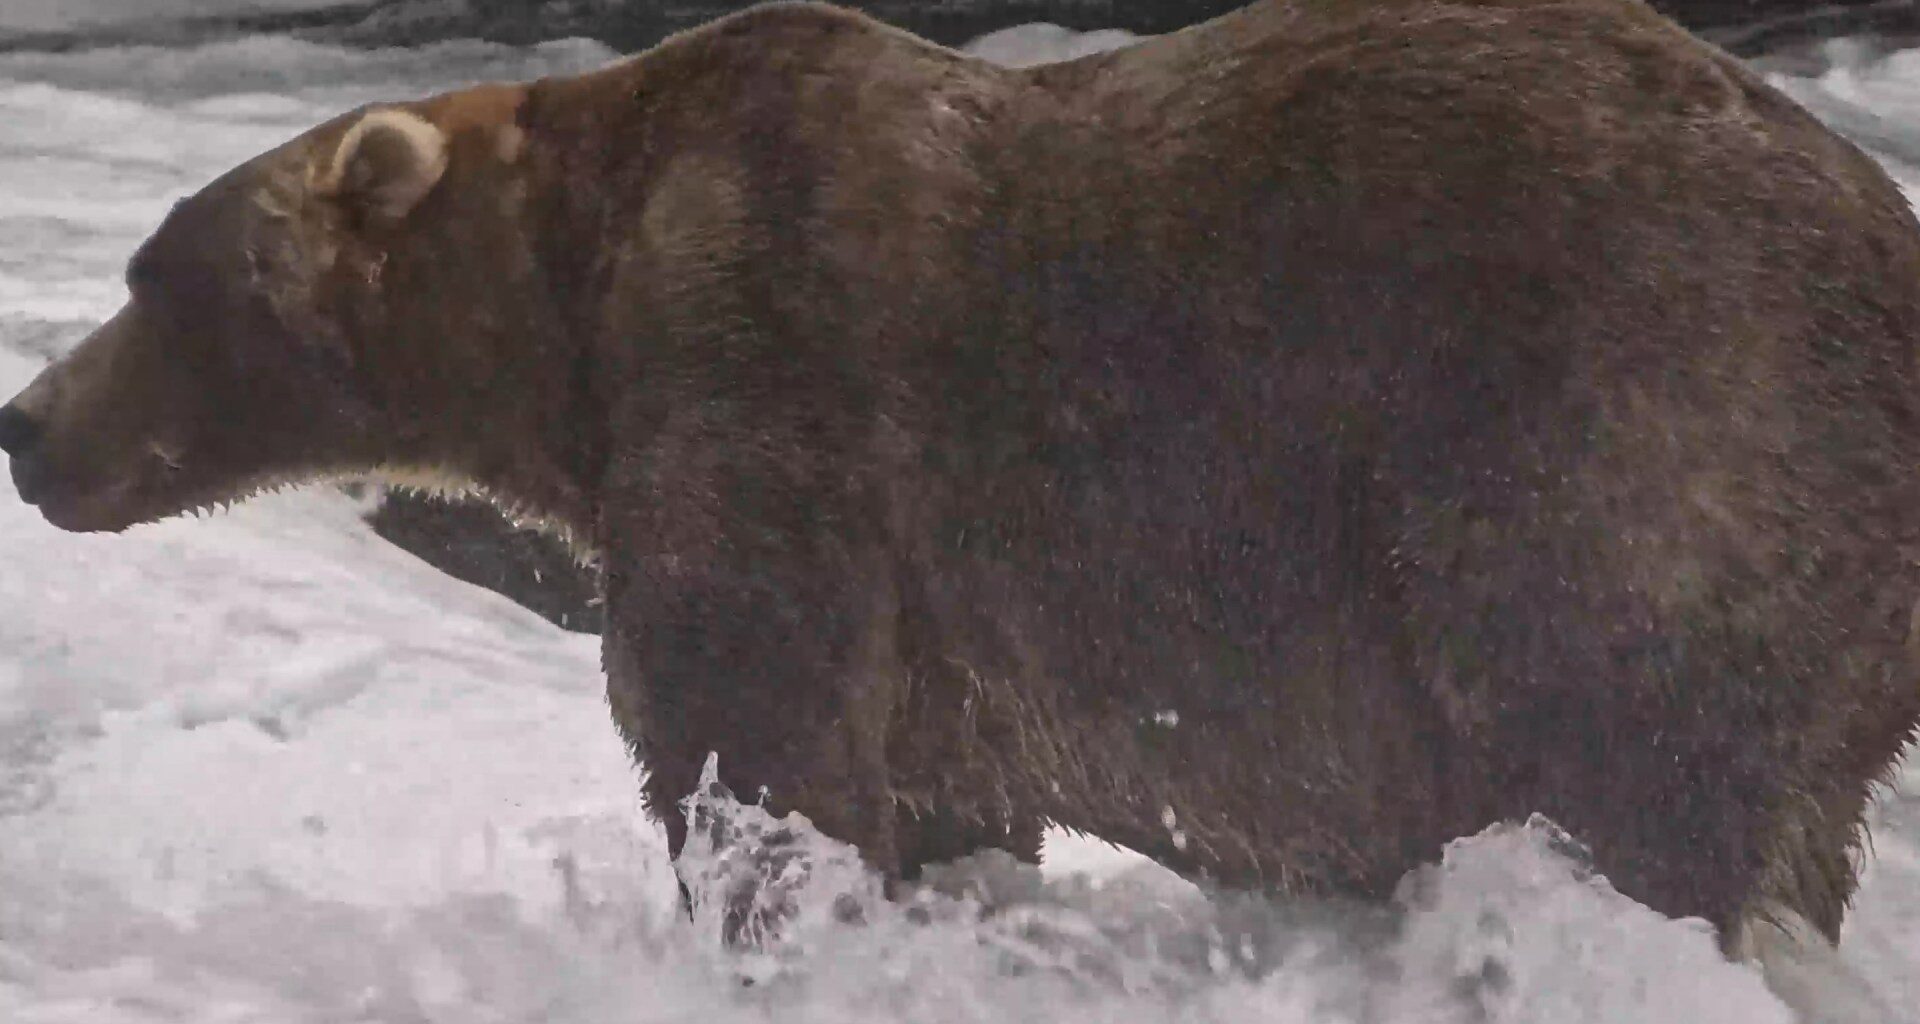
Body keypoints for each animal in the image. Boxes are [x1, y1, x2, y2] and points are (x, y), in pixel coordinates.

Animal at [3, 0, 1918, 978]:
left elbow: (752, 741)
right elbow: (936, 799)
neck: (569, 313)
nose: (24, 421)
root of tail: (1880, 225)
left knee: (1632, 752)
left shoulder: (771, 385)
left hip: (1630, 424)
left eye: (155, 277)